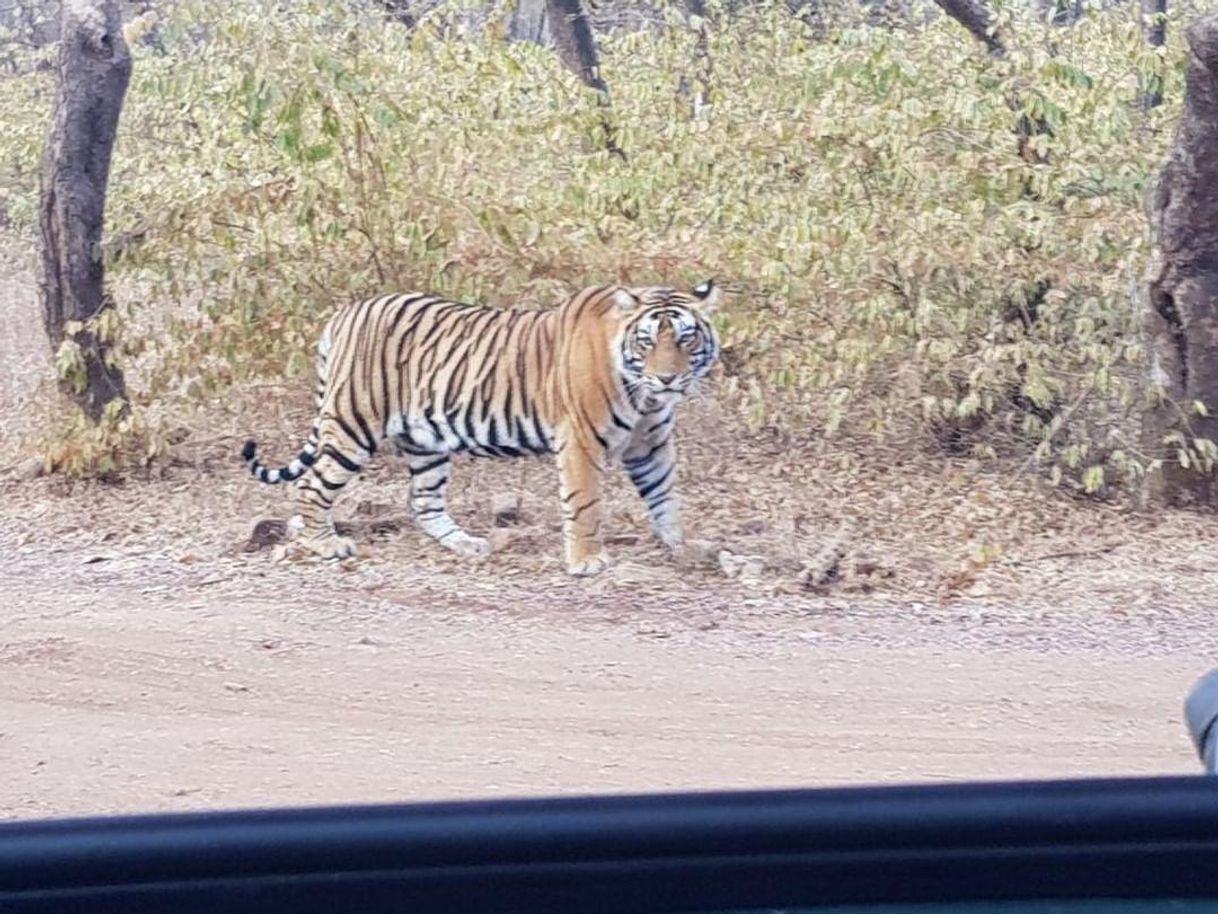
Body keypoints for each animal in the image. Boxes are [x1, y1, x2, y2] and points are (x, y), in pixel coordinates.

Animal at [239, 282, 721, 575]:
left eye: (686, 338)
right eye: (647, 342)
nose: (668, 378)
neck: (645, 397)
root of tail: (344, 313)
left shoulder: (651, 444)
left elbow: (665, 497)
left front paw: (682, 547)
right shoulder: (581, 440)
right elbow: (585, 505)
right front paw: (587, 561)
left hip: (425, 440)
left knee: (423, 501)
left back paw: (467, 545)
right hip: (354, 423)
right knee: (311, 486)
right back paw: (327, 545)